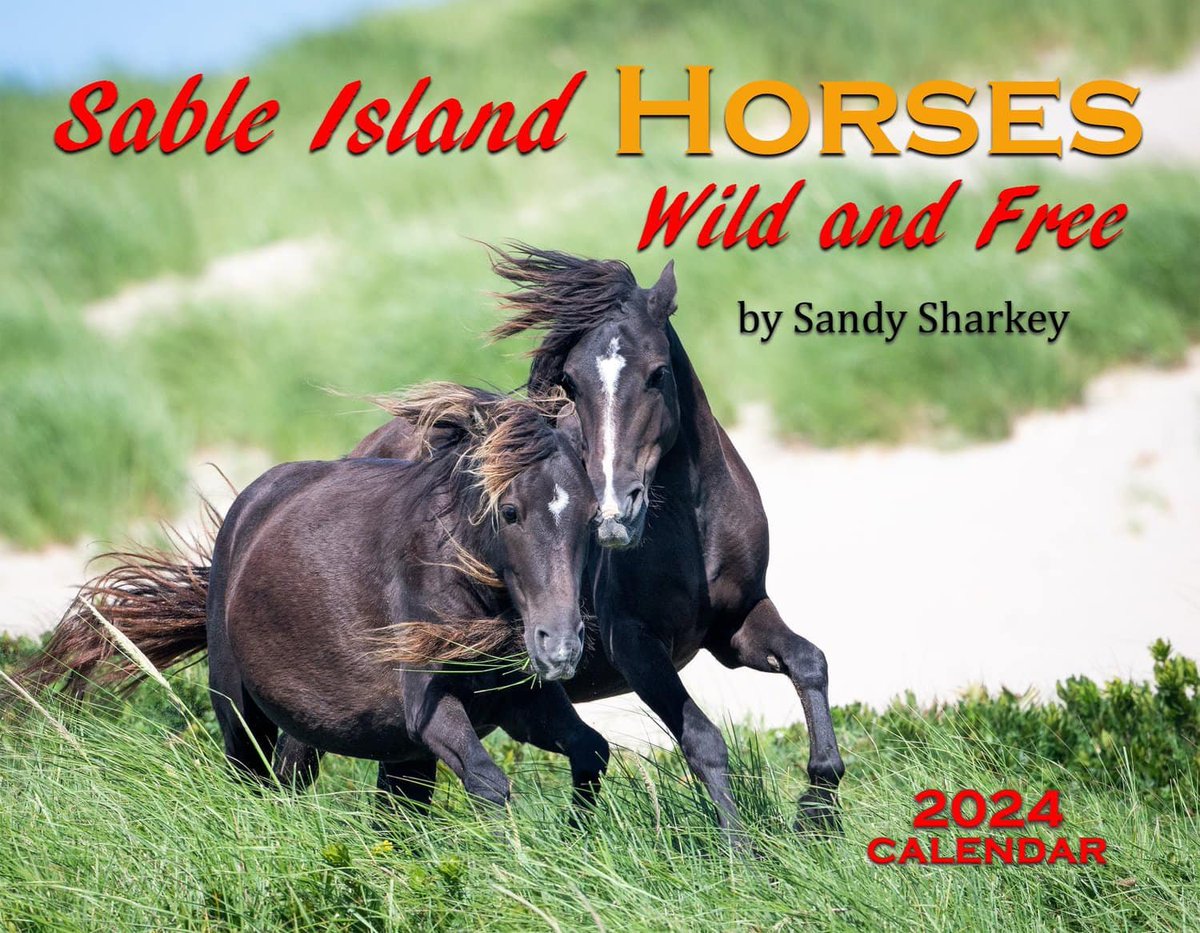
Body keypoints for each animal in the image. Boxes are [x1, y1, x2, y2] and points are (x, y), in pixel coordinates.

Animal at [18, 385, 610, 815]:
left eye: (591, 516)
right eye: (510, 512)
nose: (559, 647)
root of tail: (247, 509)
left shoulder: (521, 702)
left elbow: (592, 750)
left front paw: (577, 833)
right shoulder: (432, 710)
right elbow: (490, 784)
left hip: (337, 730)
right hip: (242, 712)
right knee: (255, 778)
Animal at [349, 247, 845, 839]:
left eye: (657, 374)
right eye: (571, 382)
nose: (612, 513)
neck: (692, 532)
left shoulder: (736, 623)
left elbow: (810, 662)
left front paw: (818, 811)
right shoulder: (634, 644)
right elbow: (702, 740)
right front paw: (740, 849)